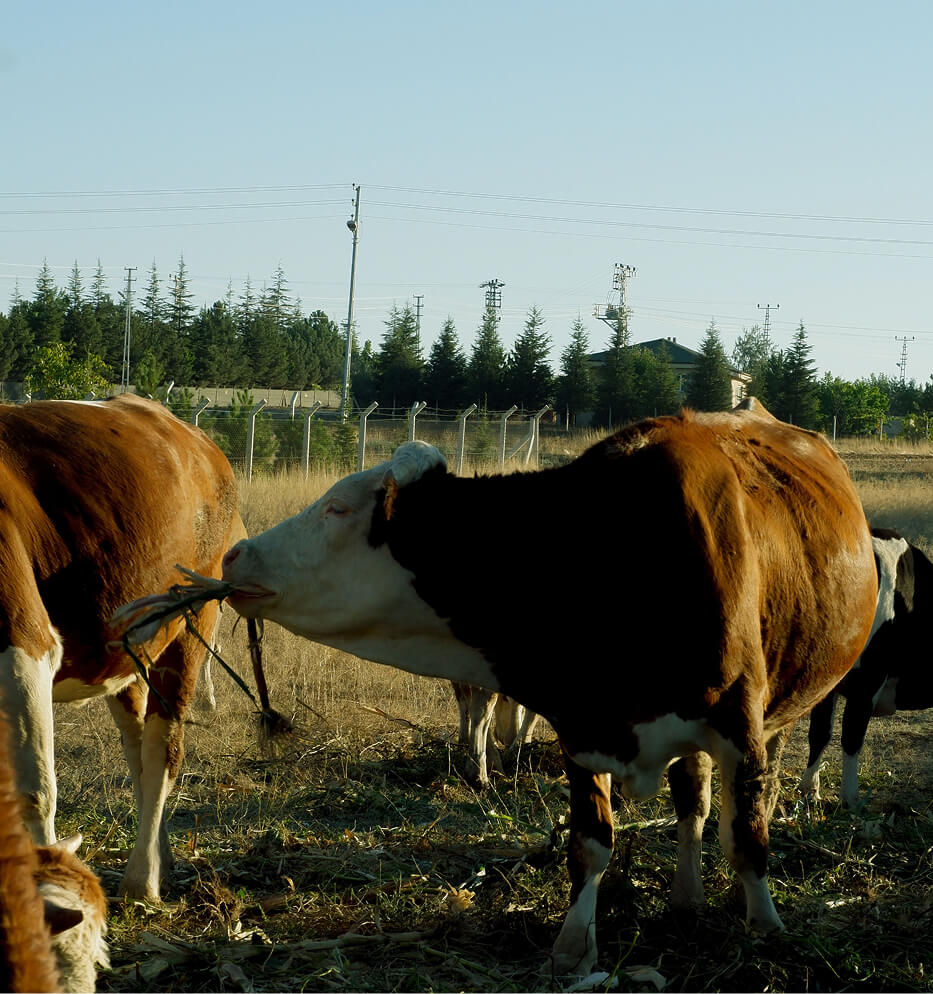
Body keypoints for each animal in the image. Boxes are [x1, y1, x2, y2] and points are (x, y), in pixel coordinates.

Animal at [0, 394, 246, 903]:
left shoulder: (22, 640)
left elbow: (34, 792)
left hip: (191, 620)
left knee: (161, 750)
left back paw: (142, 880)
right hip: (127, 648)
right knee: (137, 752)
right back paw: (161, 857)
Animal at [212, 399, 877, 975]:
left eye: (338, 508)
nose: (233, 554)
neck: (605, 554)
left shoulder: (740, 729)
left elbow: (748, 838)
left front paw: (765, 928)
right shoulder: (581, 733)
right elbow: (591, 844)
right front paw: (573, 945)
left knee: (734, 805)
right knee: (693, 802)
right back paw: (686, 897)